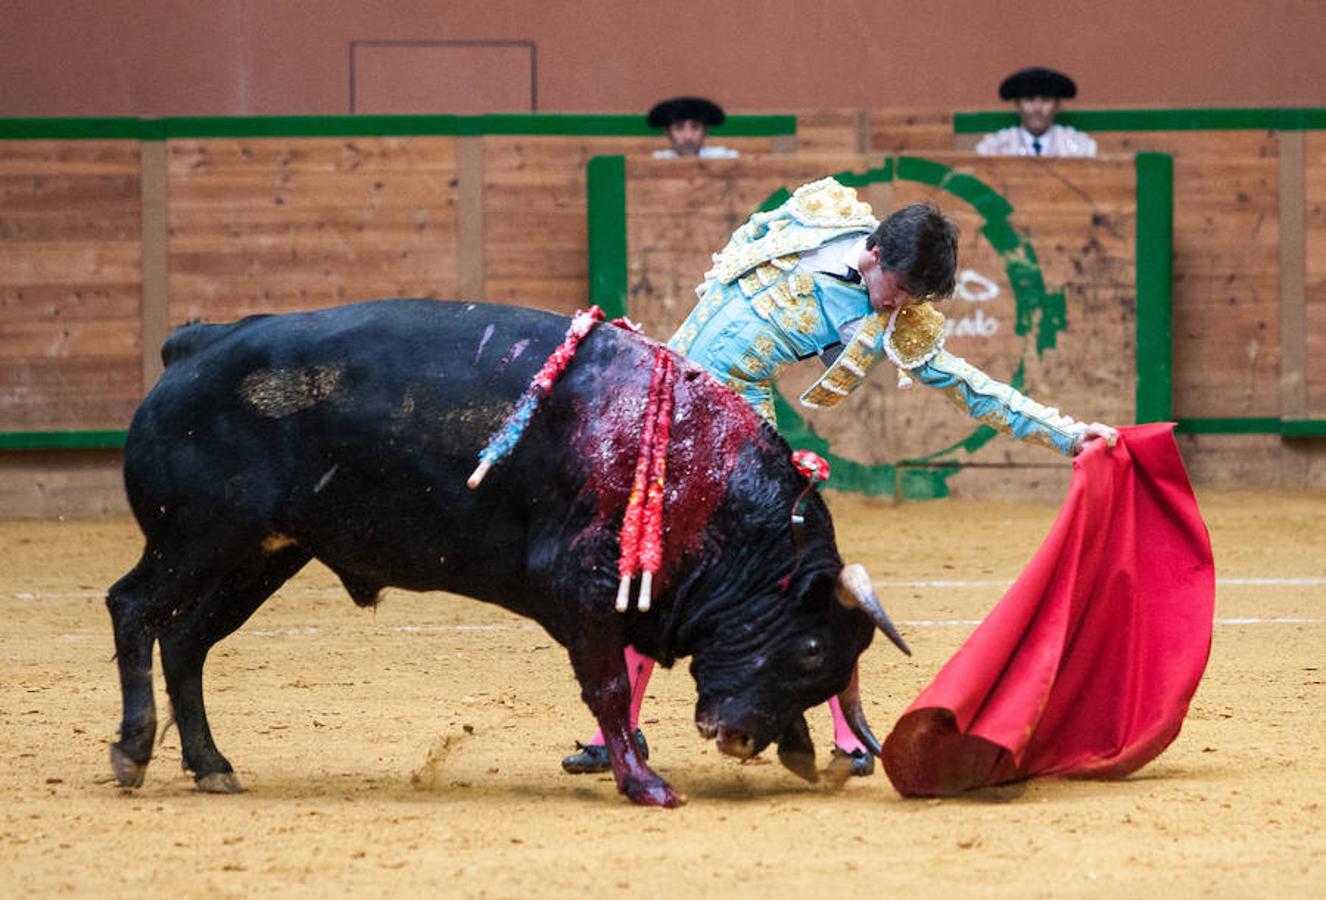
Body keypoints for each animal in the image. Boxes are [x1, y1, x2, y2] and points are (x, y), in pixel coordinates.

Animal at [106, 296, 912, 811]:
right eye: (812, 651)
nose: (743, 740)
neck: (700, 476)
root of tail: (196, 344)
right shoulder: (583, 591)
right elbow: (608, 687)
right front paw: (644, 785)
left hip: (261, 555)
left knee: (186, 638)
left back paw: (211, 765)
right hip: (197, 540)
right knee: (133, 607)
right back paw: (133, 752)